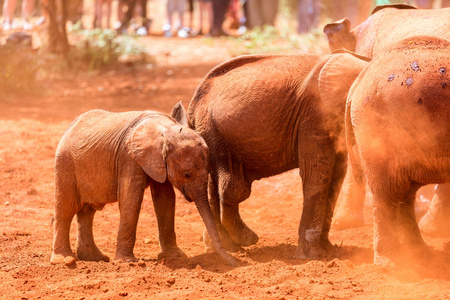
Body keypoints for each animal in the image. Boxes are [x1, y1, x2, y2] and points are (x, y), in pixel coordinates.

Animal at [51, 106, 237, 266]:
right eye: (187, 174)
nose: (235, 262)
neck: (165, 128)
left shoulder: (159, 161)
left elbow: (165, 198)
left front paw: (176, 256)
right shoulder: (128, 157)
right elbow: (131, 199)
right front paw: (127, 262)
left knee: (87, 212)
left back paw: (95, 258)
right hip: (65, 164)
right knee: (66, 209)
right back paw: (64, 260)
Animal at [186, 51, 370, 258]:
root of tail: (192, 105)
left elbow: (336, 176)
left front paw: (329, 250)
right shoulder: (314, 117)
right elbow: (316, 174)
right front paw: (312, 256)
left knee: (214, 184)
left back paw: (224, 247)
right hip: (215, 132)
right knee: (232, 188)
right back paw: (245, 240)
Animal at [348, 37, 450, 264]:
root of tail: (360, 78)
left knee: (405, 194)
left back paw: (420, 254)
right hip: (378, 128)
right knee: (387, 192)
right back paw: (391, 264)